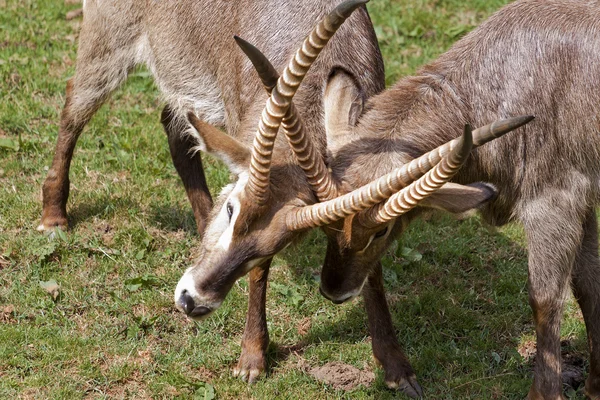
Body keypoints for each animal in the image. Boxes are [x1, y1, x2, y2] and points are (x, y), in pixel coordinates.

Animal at [173, 2, 536, 396]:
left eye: (280, 244)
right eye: (230, 208)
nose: (193, 301)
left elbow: (370, 271)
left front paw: (397, 368)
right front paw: (252, 360)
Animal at [255, 0, 596, 400]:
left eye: (381, 231)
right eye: (325, 226)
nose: (333, 291)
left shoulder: (554, 203)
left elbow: (546, 301)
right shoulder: (584, 199)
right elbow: (589, 284)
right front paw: (594, 386)